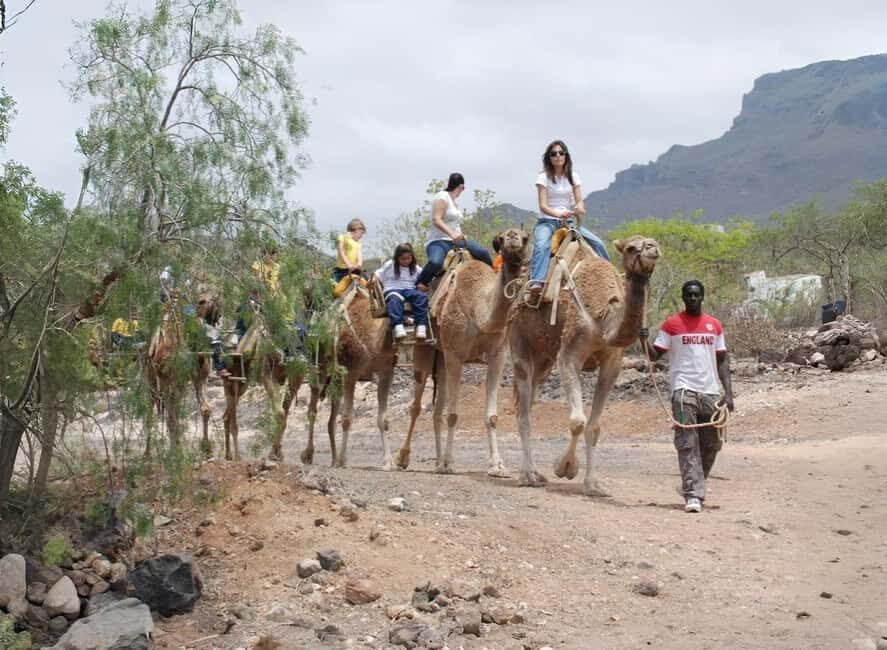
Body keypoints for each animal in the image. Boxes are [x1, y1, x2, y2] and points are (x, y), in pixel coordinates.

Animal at [396, 227, 530, 475]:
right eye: (501, 238)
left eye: (525, 237)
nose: (513, 237)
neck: (480, 312)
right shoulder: (456, 356)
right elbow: (453, 414)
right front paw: (450, 462)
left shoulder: (497, 356)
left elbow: (492, 416)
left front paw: (497, 465)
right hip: (425, 350)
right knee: (416, 405)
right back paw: (403, 458)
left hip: (441, 357)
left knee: (436, 409)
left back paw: (437, 461)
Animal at [507, 233, 660, 495]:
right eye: (631, 248)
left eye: (654, 243)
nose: (653, 248)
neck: (602, 319)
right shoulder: (569, 355)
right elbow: (577, 422)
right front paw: (564, 468)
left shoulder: (612, 362)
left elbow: (594, 426)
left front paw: (593, 484)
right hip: (518, 339)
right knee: (524, 411)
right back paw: (526, 476)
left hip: (544, 359)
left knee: (526, 403)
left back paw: (536, 473)